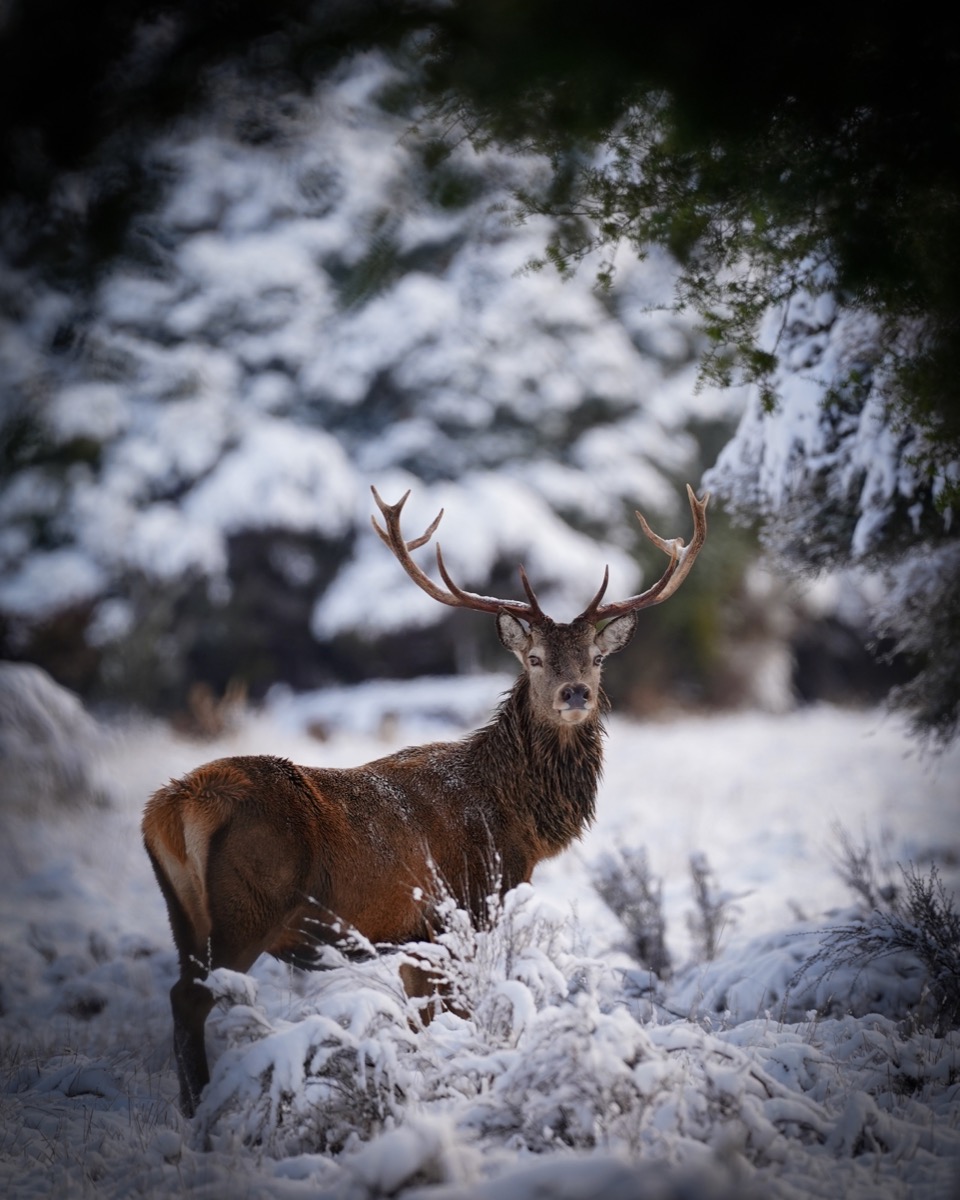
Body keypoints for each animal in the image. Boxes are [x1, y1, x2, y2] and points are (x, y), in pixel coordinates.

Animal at [142, 483, 708, 1115]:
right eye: (534, 658)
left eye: (597, 657)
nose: (576, 693)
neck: (518, 820)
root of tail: (174, 804)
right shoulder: (463, 907)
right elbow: (457, 1015)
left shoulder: (415, 936)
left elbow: (423, 1022)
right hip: (247, 905)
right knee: (191, 998)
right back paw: (201, 1112)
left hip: (182, 912)